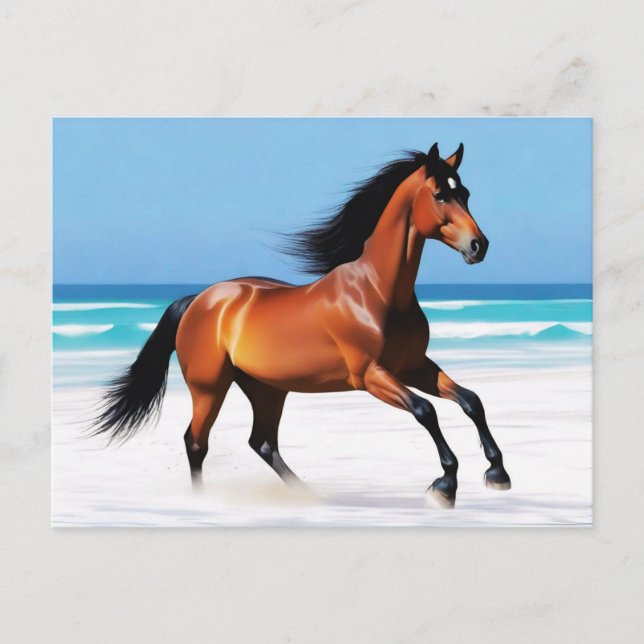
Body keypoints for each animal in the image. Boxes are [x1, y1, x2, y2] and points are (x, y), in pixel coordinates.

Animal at [91, 142, 511, 509]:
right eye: (440, 195)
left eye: (465, 193)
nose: (479, 246)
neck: (378, 292)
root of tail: (200, 299)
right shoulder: (371, 375)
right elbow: (426, 411)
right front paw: (445, 485)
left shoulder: (414, 367)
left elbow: (471, 401)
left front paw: (497, 473)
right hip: (209, 386)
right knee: (197, 442)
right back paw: (205, 501)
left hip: (266, 388)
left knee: (262, 442)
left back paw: (309, 495)